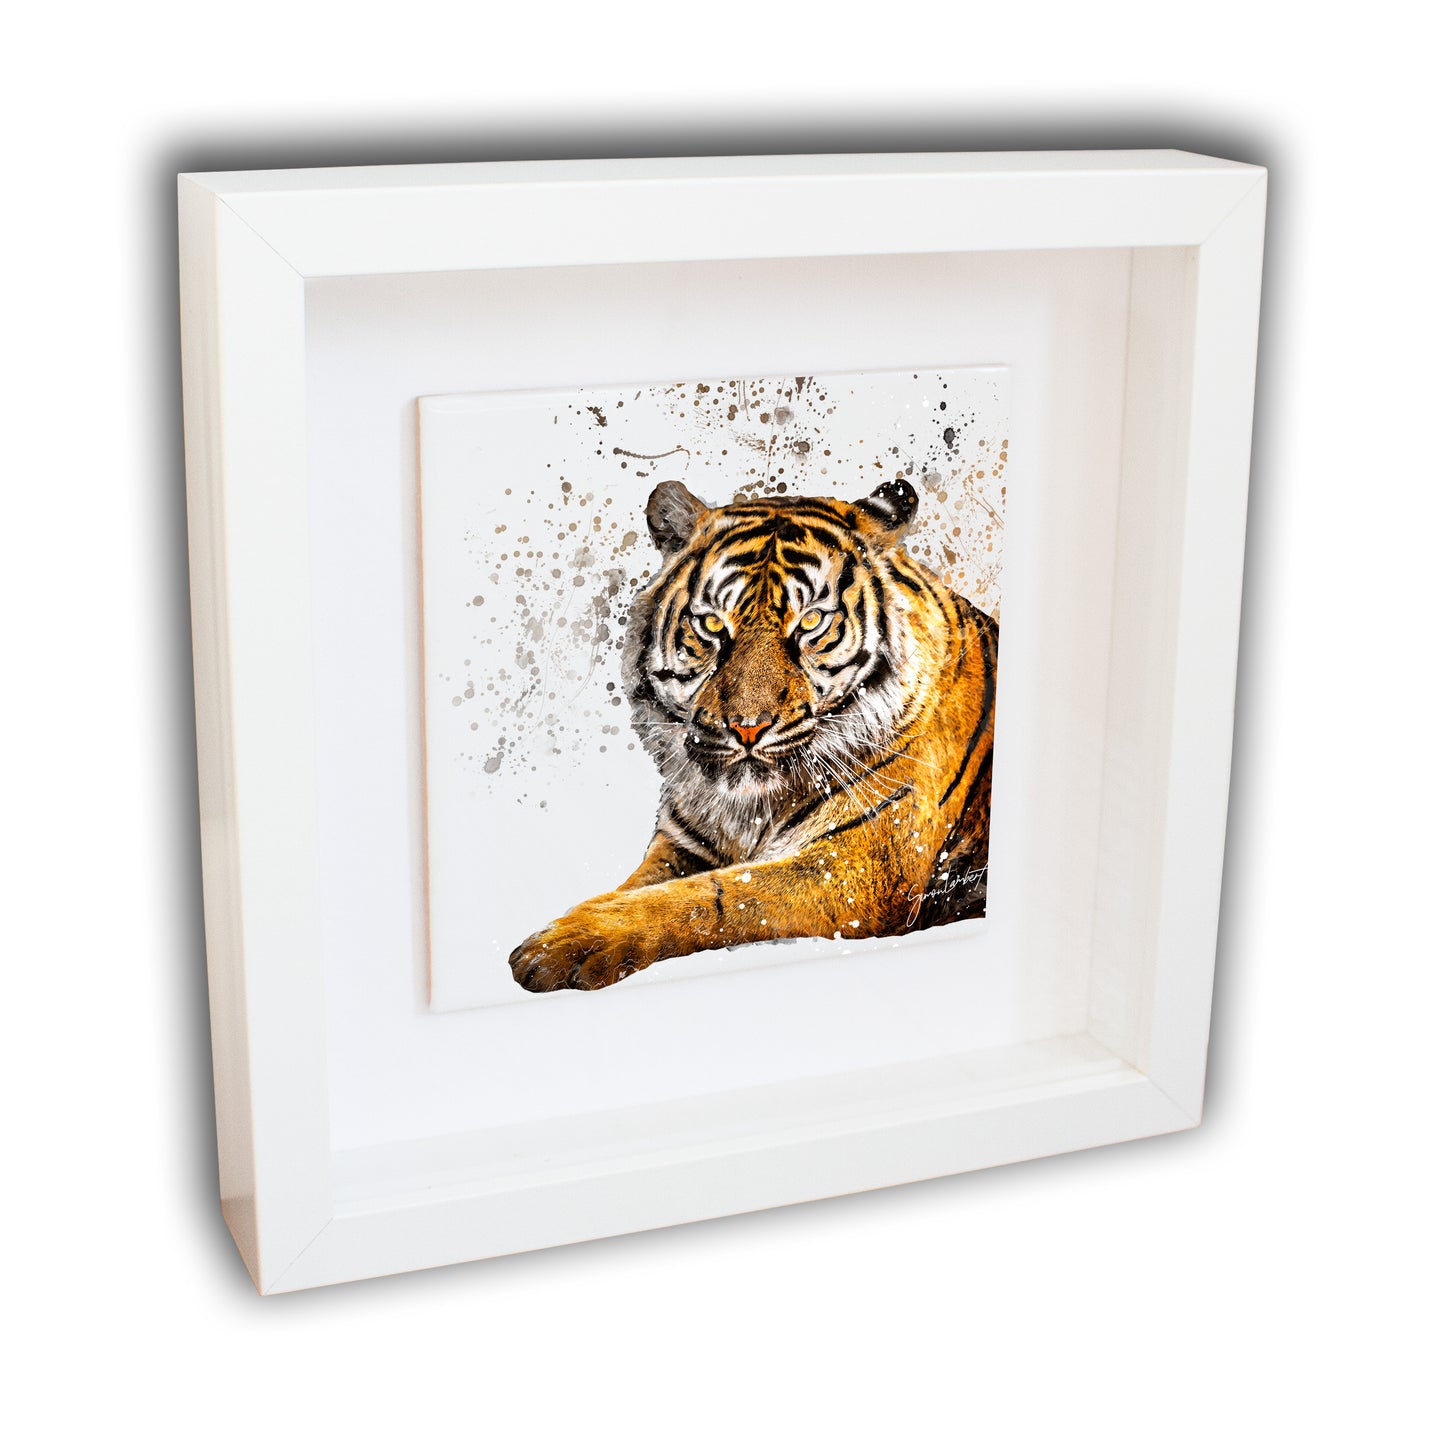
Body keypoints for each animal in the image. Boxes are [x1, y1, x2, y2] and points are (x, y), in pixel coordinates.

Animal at [509, 476, 998, 992]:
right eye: (710, 624)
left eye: (811, 621)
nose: (748, 728)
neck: (748, 808)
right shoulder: (681, 844)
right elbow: (639, 885)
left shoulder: (857, 867)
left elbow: (714, 895)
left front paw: (563, 944)